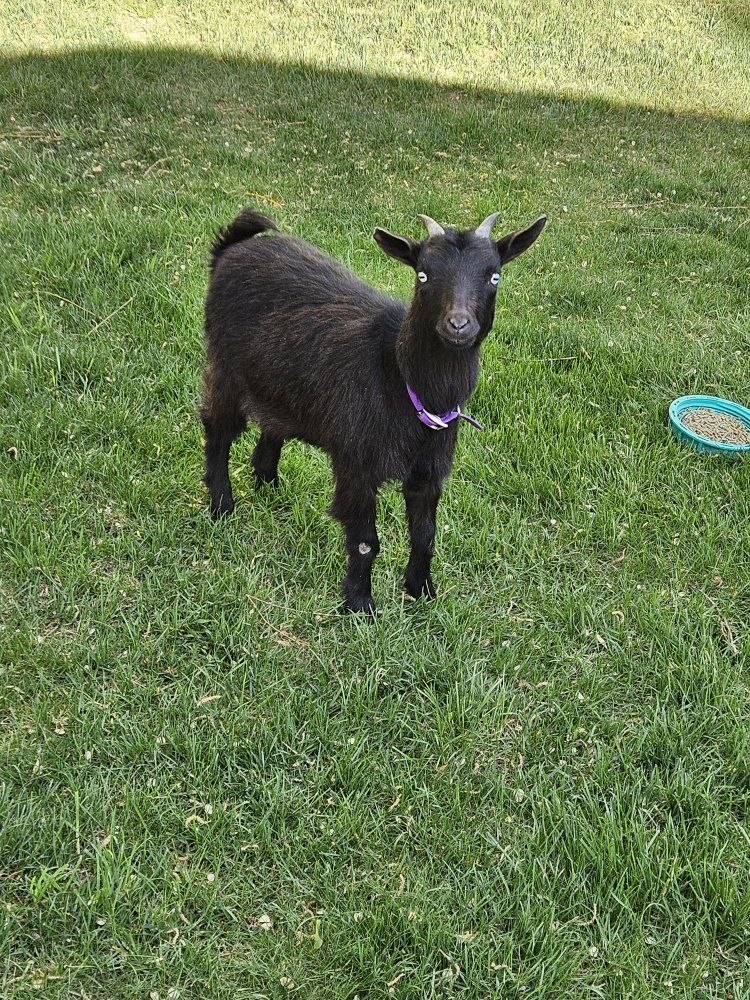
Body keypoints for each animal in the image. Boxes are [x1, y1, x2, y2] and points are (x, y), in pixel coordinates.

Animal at [201, 208, 546, 613]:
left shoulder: (428, 471)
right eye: (422, 274)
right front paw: (359, 604)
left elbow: (425, 536)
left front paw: (420, 592)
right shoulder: (357, 464)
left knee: (271, 428)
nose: (458, 324)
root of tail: (232, 249)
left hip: (279, 385)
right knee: (217, 431)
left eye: (494, 275)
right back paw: (222, 508)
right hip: (226, 369)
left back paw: (269, 487)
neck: (400, 380)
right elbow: (366, 542)